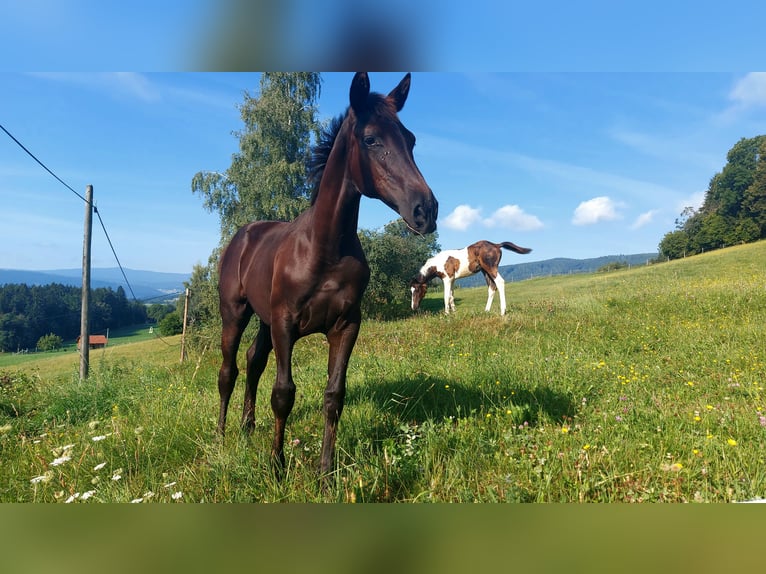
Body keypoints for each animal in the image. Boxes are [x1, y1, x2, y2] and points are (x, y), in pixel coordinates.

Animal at [216, 73, 438, 476]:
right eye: (371, 139)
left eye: (411, 139)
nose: (425, 211)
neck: (325, 248)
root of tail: (244, 233)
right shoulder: (286, 323)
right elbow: (283, 394)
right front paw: (277, 468)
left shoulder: (346, 325)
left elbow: (334, 395)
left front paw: (325, 473)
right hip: (236, 313)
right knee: (229, 371)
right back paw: (222, 435)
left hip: (264, 319)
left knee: (254, 362)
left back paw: (247, 427)